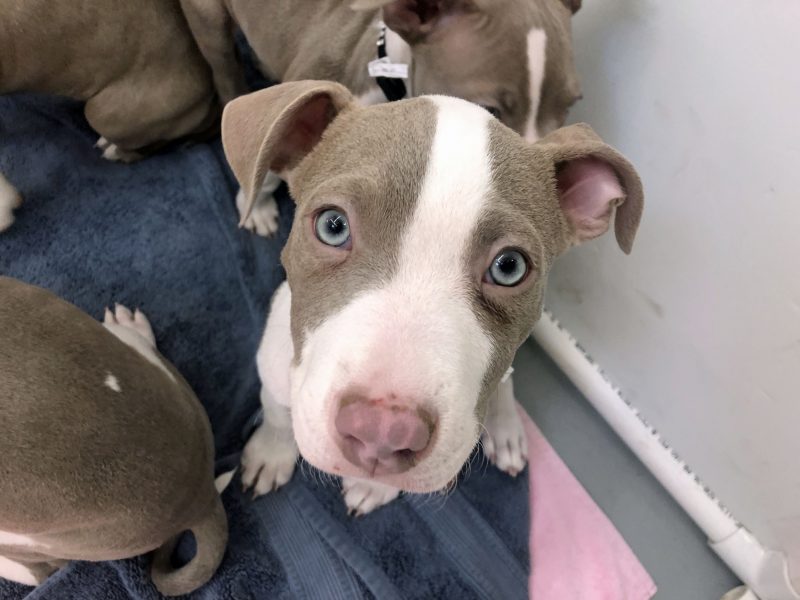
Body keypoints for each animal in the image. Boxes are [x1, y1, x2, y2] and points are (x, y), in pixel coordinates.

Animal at [180, 0, 580, 237]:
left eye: (569, 109)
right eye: (489, 111)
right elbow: (265, 161)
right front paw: (257, 206)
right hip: (210, 22)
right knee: (225, 72)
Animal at [219, 81, 644, 516]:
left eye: (509, 266)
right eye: (332, 226)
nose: (382, 432)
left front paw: (373, 487)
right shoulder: (273, 362)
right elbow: (276, 412)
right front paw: (271, 453)